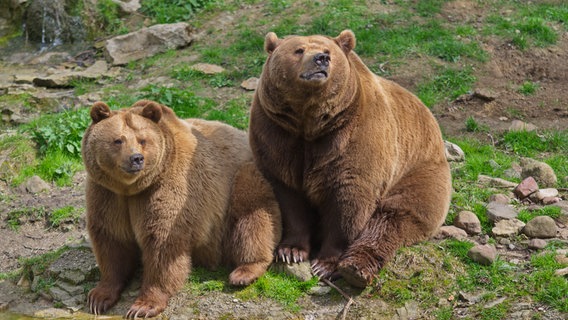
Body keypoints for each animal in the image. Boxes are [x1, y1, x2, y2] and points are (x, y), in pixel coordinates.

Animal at [82, 99, 282, 318]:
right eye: (118, 140)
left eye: (143, 140)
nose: (136, 158)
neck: (132, 188)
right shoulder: (108, 195)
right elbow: (112, 240)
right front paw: (98, 297)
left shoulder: (169, 189)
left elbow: (163, 245)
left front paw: (142, 306)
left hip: (245, 178)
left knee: (253, 216)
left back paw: (245, 271)